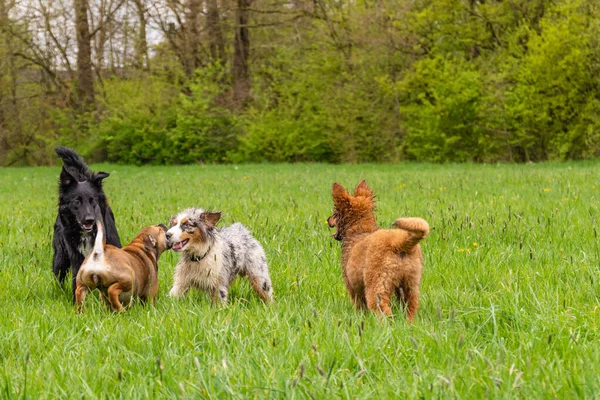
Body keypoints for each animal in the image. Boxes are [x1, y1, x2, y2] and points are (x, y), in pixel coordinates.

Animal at [328, 180, 426, 320]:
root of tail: (398, 243)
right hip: (410, 286)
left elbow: (359, 306)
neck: (359, 230)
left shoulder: (353, 288)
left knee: (382, 309)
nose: (327, 220)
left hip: (376, 286)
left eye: (335, 213)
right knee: (410, 308)